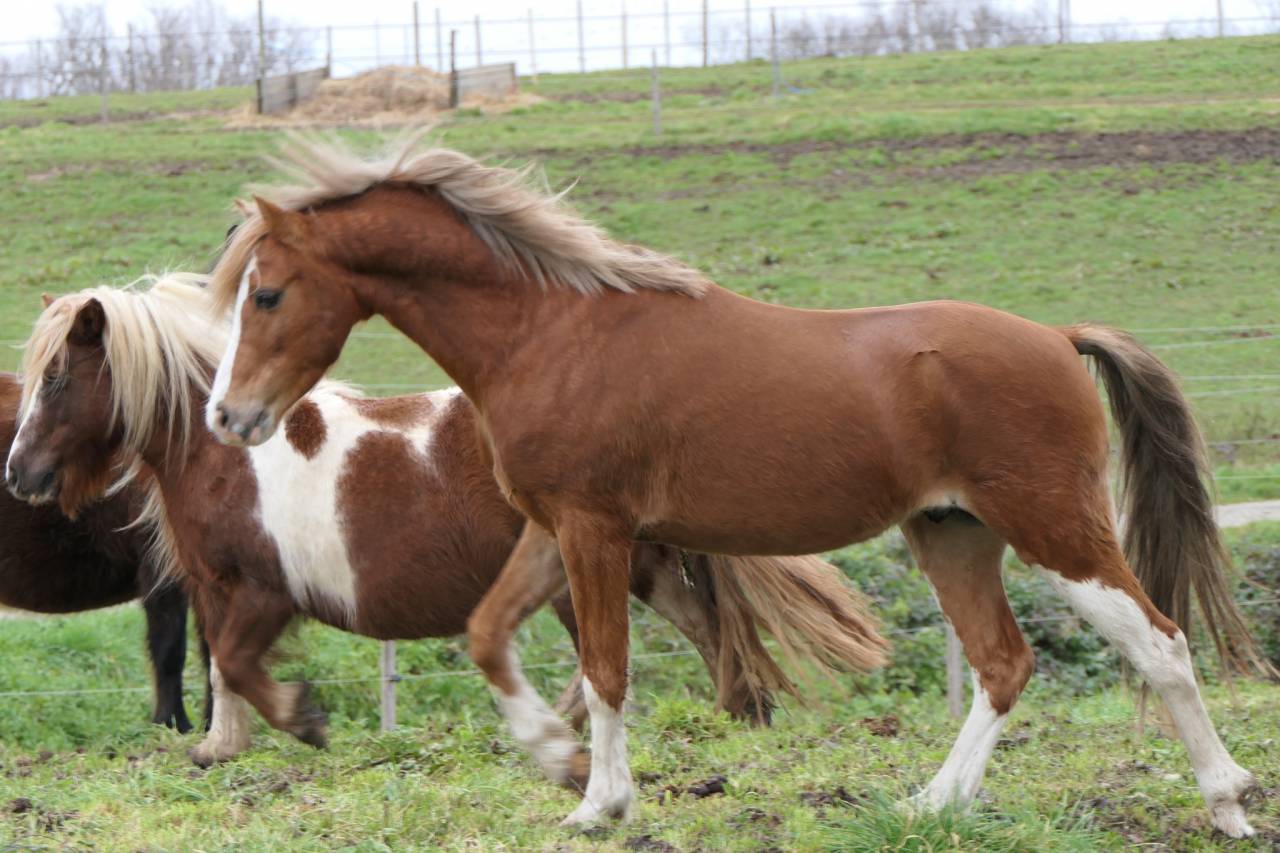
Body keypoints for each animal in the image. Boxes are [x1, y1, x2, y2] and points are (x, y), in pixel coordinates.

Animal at [198, 136, 1268, 836]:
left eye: (268, 293)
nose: (226, 418)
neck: (550, 334)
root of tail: (1056, 336)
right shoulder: (550, 527)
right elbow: (489, 634)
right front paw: (557, 760)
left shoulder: (594, 528)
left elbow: (607, 667)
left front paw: (601, 802)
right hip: (952, 531)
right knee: (1004, 663)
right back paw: (931, 803)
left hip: (1052, 527)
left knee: (1160, 643)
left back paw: (1226, 800)